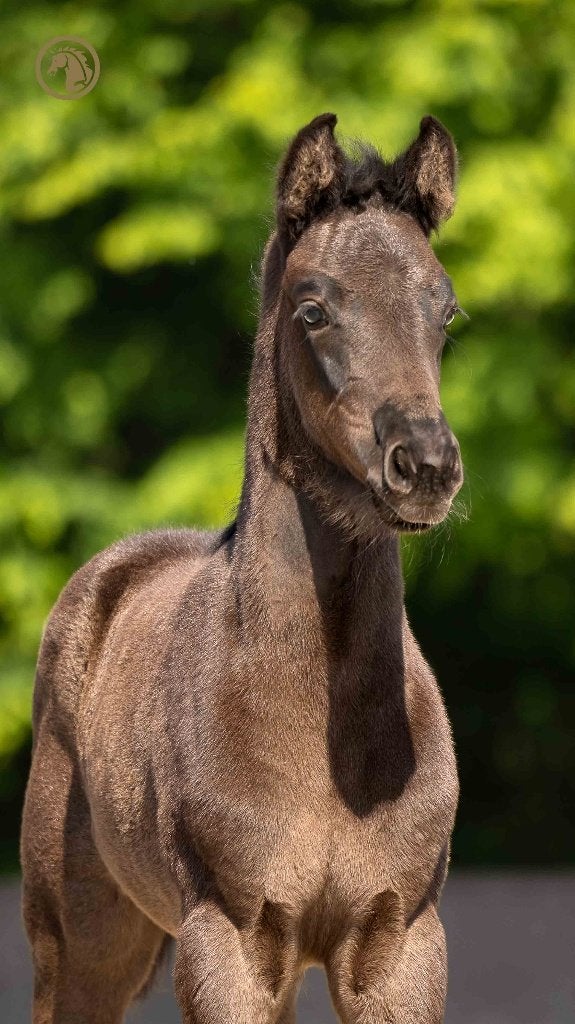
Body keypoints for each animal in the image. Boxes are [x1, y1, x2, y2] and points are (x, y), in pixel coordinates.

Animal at [21, 112, 465, 1023]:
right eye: (314, 308)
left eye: (445, 311)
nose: (426, 466)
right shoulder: (228, 939)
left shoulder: (401, 944)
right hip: (80, 942)